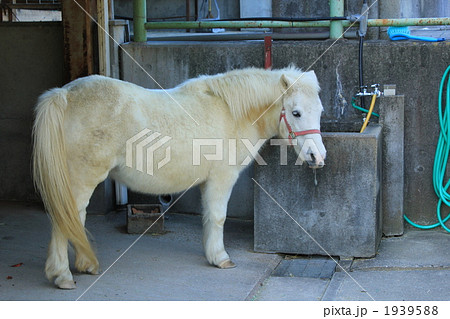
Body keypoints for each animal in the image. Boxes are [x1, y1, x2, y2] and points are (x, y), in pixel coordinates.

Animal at [32, 67, 326, 290]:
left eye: (320, 111)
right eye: (296, 112)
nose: (317, 156)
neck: (231, 113)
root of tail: (65, 95)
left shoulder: (208, 182)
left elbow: (209, 217)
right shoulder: (222, 178)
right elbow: (218, 217)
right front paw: (220, 258)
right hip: (82, 179)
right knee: (67, 217)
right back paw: (63, 275)